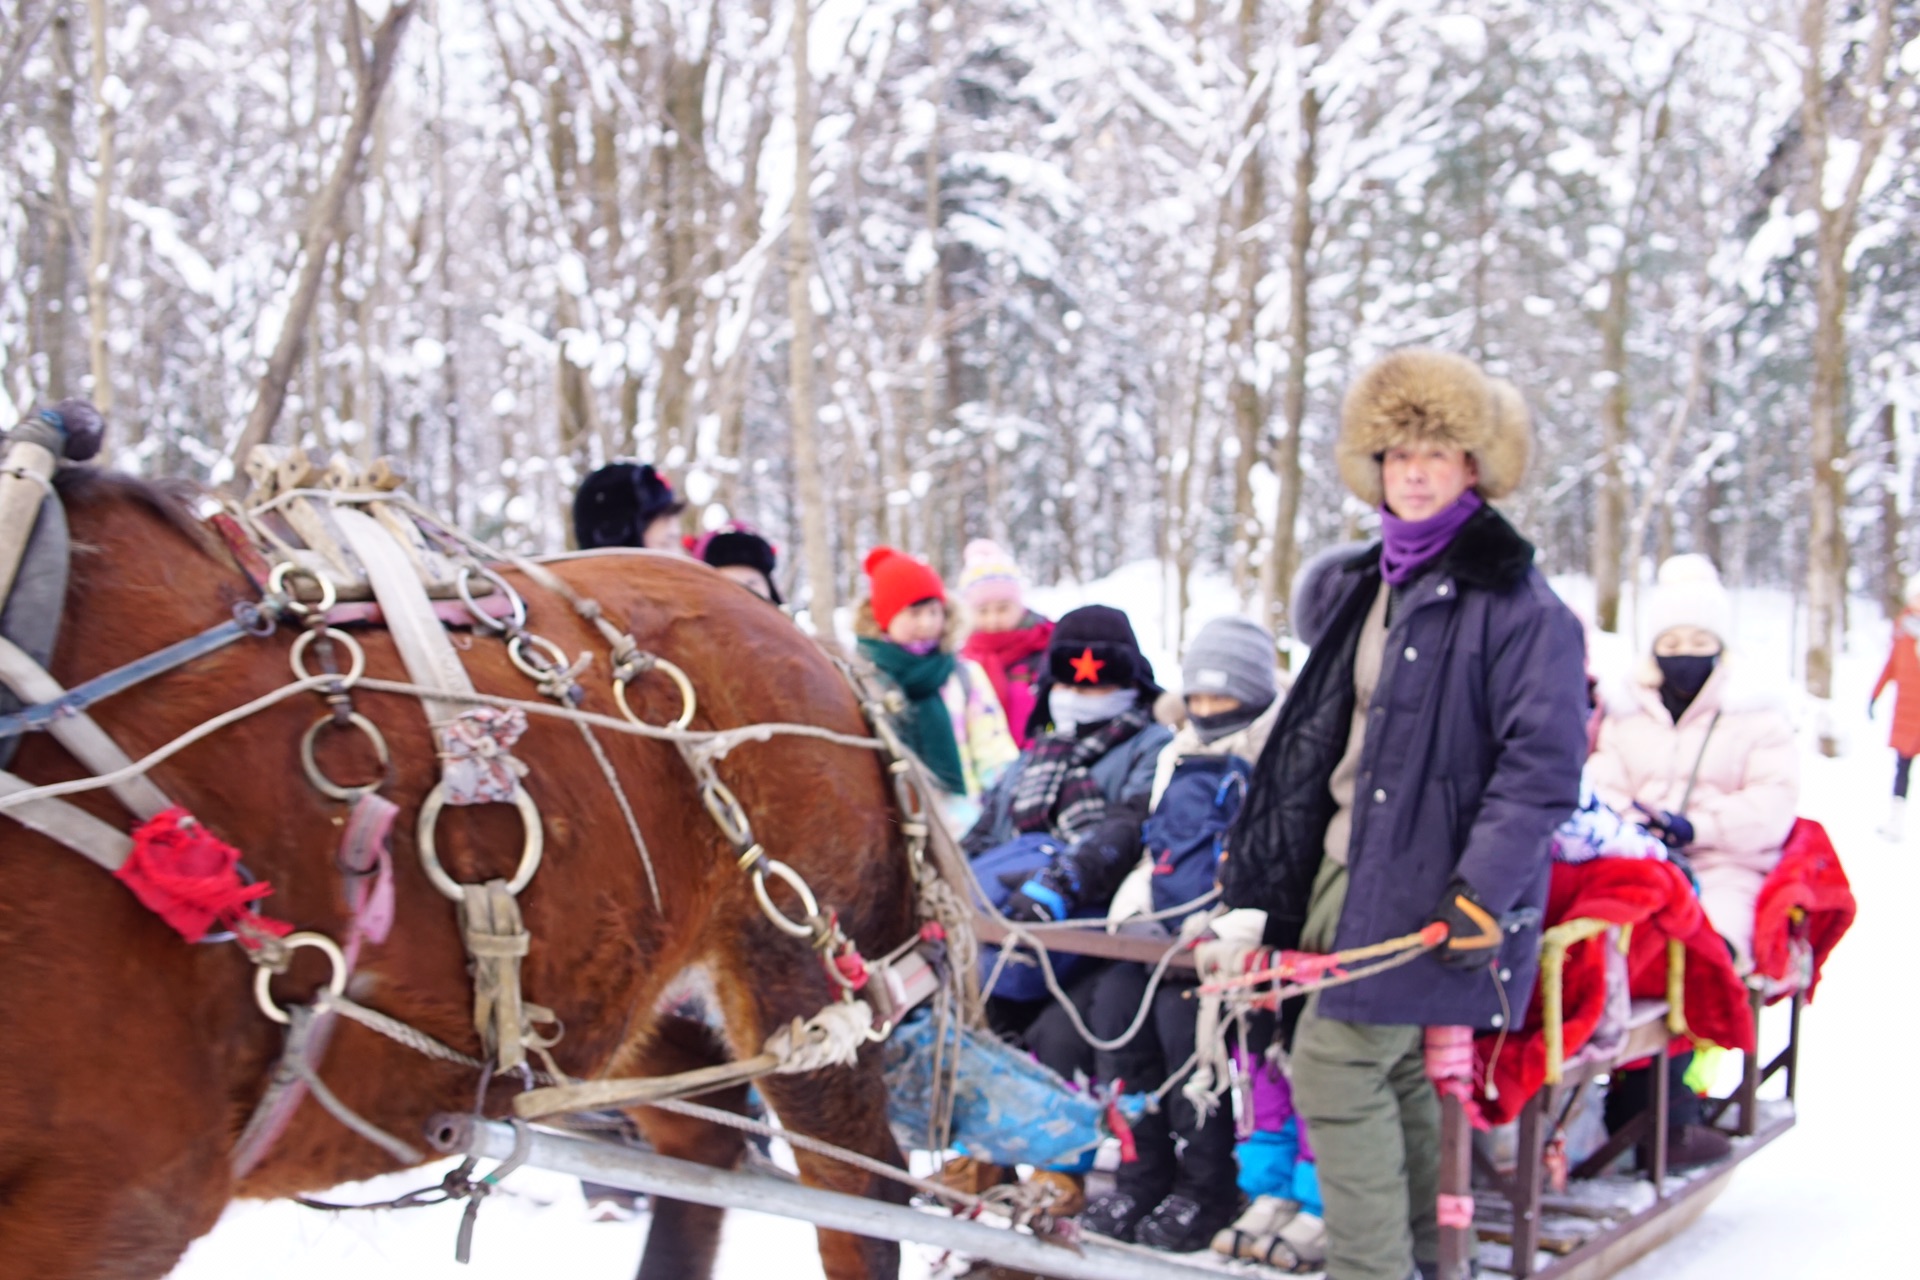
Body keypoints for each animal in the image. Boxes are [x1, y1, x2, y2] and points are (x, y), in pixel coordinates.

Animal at [0, 474, 917, 1280]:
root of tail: (807, 639)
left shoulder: (119, 1192)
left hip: (794, 974)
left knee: (865, 1206)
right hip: (619, 992)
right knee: (706, 1139)